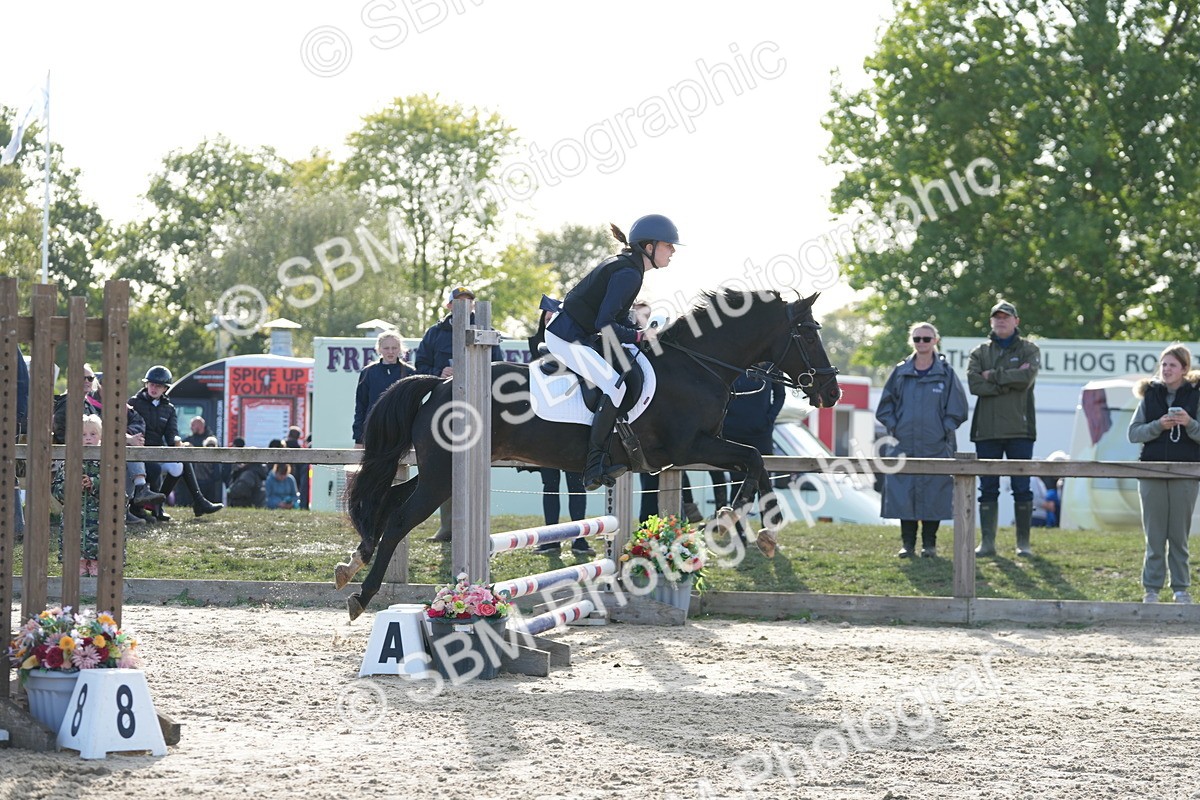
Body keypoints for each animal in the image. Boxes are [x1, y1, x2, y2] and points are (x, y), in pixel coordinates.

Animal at [337, 289, 841, 620]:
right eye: (809, 333)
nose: (831, 392)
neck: (697, 366)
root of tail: (441, 385)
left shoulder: (692, 454)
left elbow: (755, 463)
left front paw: (755, 530)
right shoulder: (690, 447)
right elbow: (753, 459)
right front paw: (732, 522)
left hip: (437, 472)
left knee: (389, 498)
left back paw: (353, 562)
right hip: (443, 474)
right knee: (399, 517)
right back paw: (363, 594)